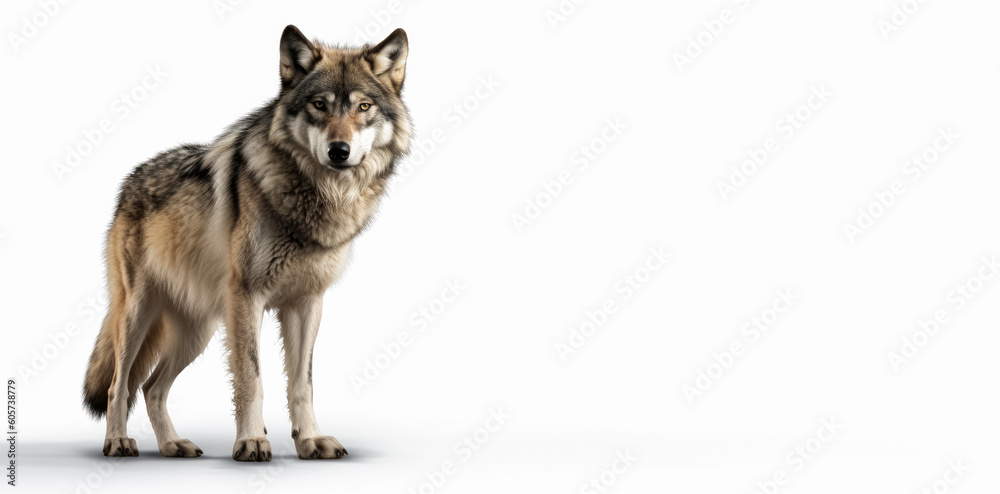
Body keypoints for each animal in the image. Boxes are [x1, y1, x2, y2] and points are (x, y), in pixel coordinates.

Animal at [82, 25, 412, 461]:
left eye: (363, 107)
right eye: (319, 105)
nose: (339, 151)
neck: (317, 199)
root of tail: (129, 180)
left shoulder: (307, 303)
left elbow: (303, 383)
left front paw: (309, 439)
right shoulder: (247, 298)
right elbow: (252, 379)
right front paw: (252, 441)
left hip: (198, 332)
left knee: (152, 388)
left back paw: (172, 445)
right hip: (138, 314)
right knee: (119, 385)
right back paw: (118, 441)